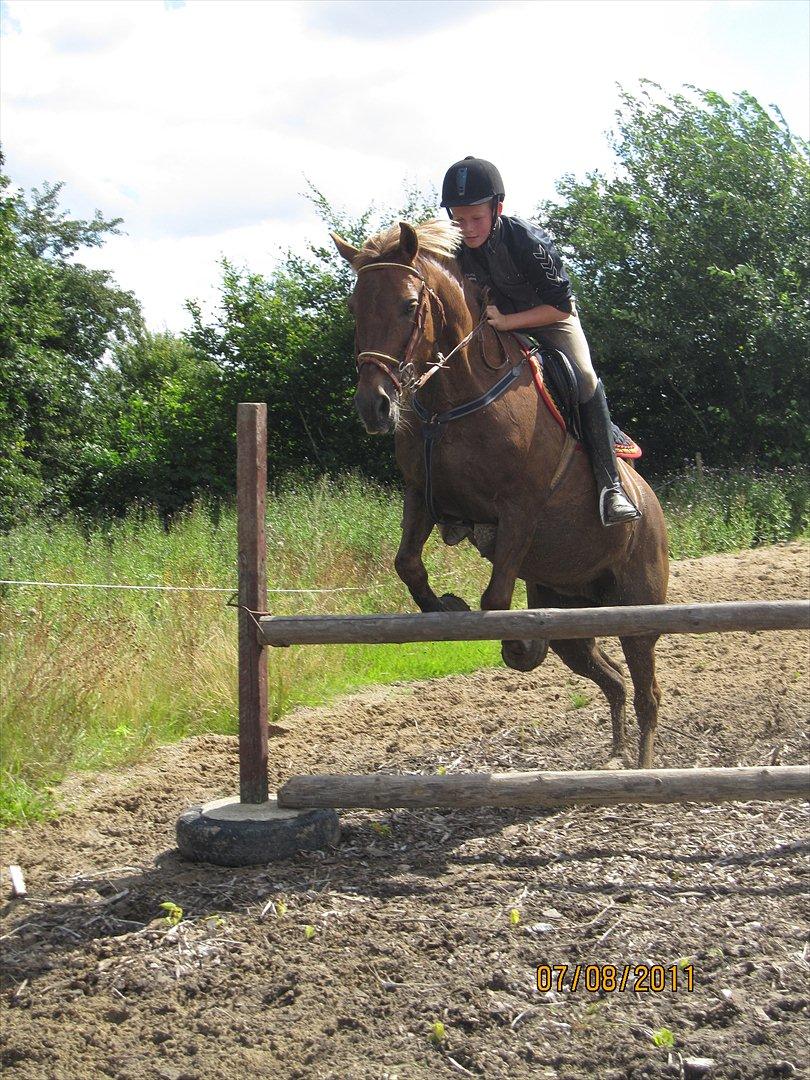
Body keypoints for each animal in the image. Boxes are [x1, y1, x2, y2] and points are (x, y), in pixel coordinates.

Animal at [332, 217, 669, 768]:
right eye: (354, 308)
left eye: (408, 305)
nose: (374, 407)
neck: (452, 401)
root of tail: (654, 508)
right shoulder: (422, 496)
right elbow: (408, 564)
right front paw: (447, 606)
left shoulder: (520, 508)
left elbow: (494, 598)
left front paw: (518, 646)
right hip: (571, 608)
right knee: (612, 678)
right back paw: (616, 753)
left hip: (638, 606)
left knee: (646, 689)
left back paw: (640, 768)